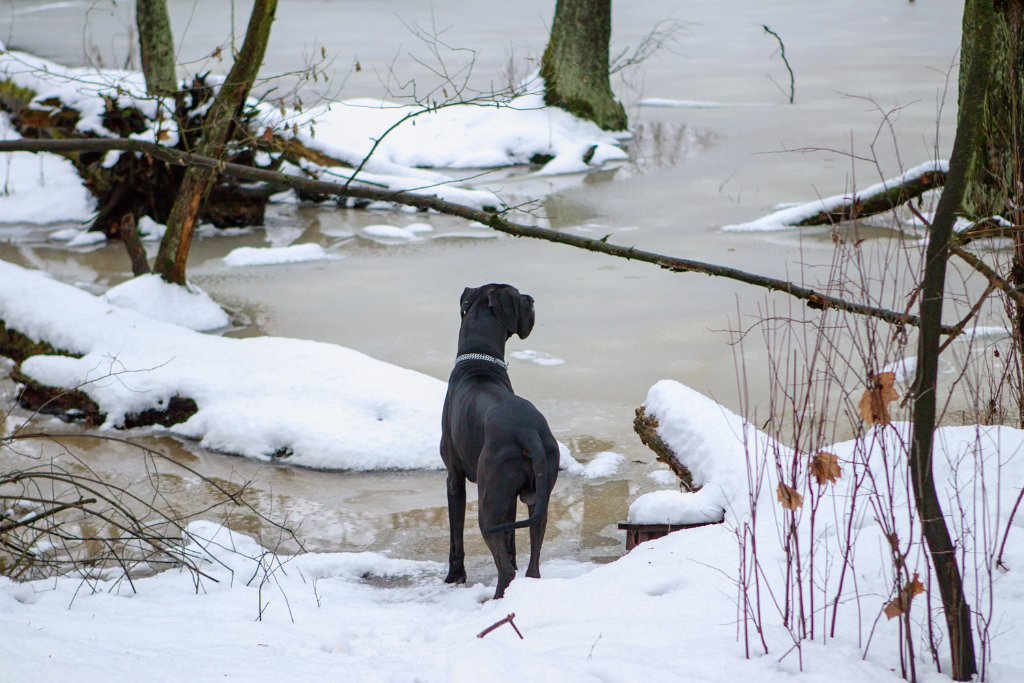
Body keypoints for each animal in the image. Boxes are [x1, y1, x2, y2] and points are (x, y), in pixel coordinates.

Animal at [440, 282, 561, 598]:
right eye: (519, 298)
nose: (532, 299)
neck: (479, 360)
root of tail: (529, 431)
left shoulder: (454, 478)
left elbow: (456, 538)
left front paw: (454, 577)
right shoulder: (512, 499)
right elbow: (510, 542)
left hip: (487, 505)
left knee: (505, 571)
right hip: (537, 500)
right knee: (532, 564)